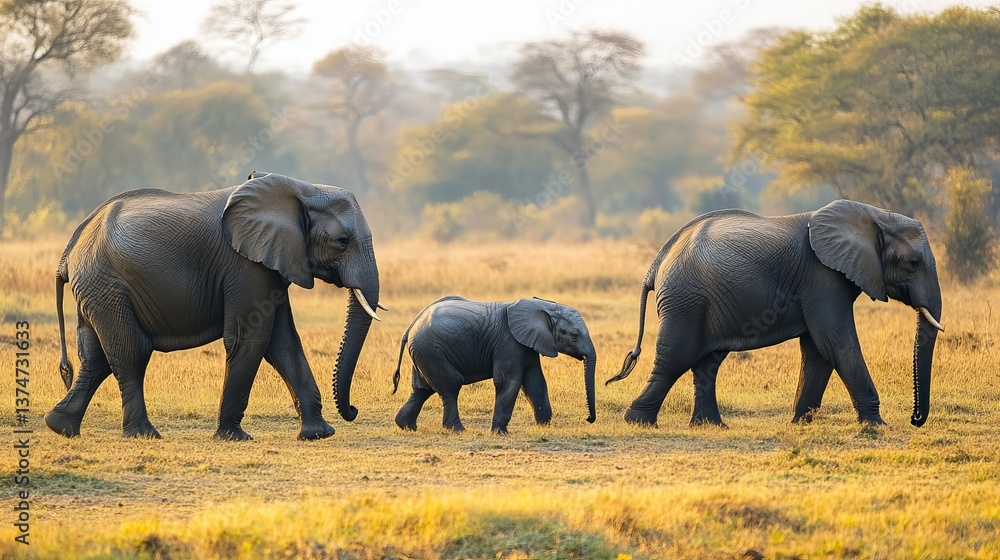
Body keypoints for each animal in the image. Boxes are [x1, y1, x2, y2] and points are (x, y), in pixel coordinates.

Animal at [44, 172, 383, 441]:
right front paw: (233, 437)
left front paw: (318, 435)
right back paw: (144, 435)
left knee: (96, 358)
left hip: (97, 290)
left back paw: (60, 427)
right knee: (132, 352)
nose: (353, 410)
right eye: (342, 241)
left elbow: (284, 342)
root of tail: (69, 251)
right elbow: (250, 339)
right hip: (107, 284)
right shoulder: (244, 265)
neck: (301, 188)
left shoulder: (272, 263)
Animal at [391, 296, 597, 435]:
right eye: (574, 335)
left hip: (424, 353)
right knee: (450, 387)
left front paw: (544, 426)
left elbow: (535, 382)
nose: (588, 419)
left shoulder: (528, 344)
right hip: (432, 351)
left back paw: (407, 426)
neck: (543, 305)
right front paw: (500, 433)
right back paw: (458, 430)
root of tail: (411, 326)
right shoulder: (508, 342)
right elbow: (508, 381)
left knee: (422, 390)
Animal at [606, 199, 943, 428]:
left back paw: (711, 426)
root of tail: (657, 262)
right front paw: (875, 425)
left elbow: (818, 350)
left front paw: (800, 422)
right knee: (676, 357)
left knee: (707, 362)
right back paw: (638, 421)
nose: (914, 419)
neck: (875, 215)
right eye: (913, 264)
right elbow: (835, 343)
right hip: (685, 300)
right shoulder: (822, 277)